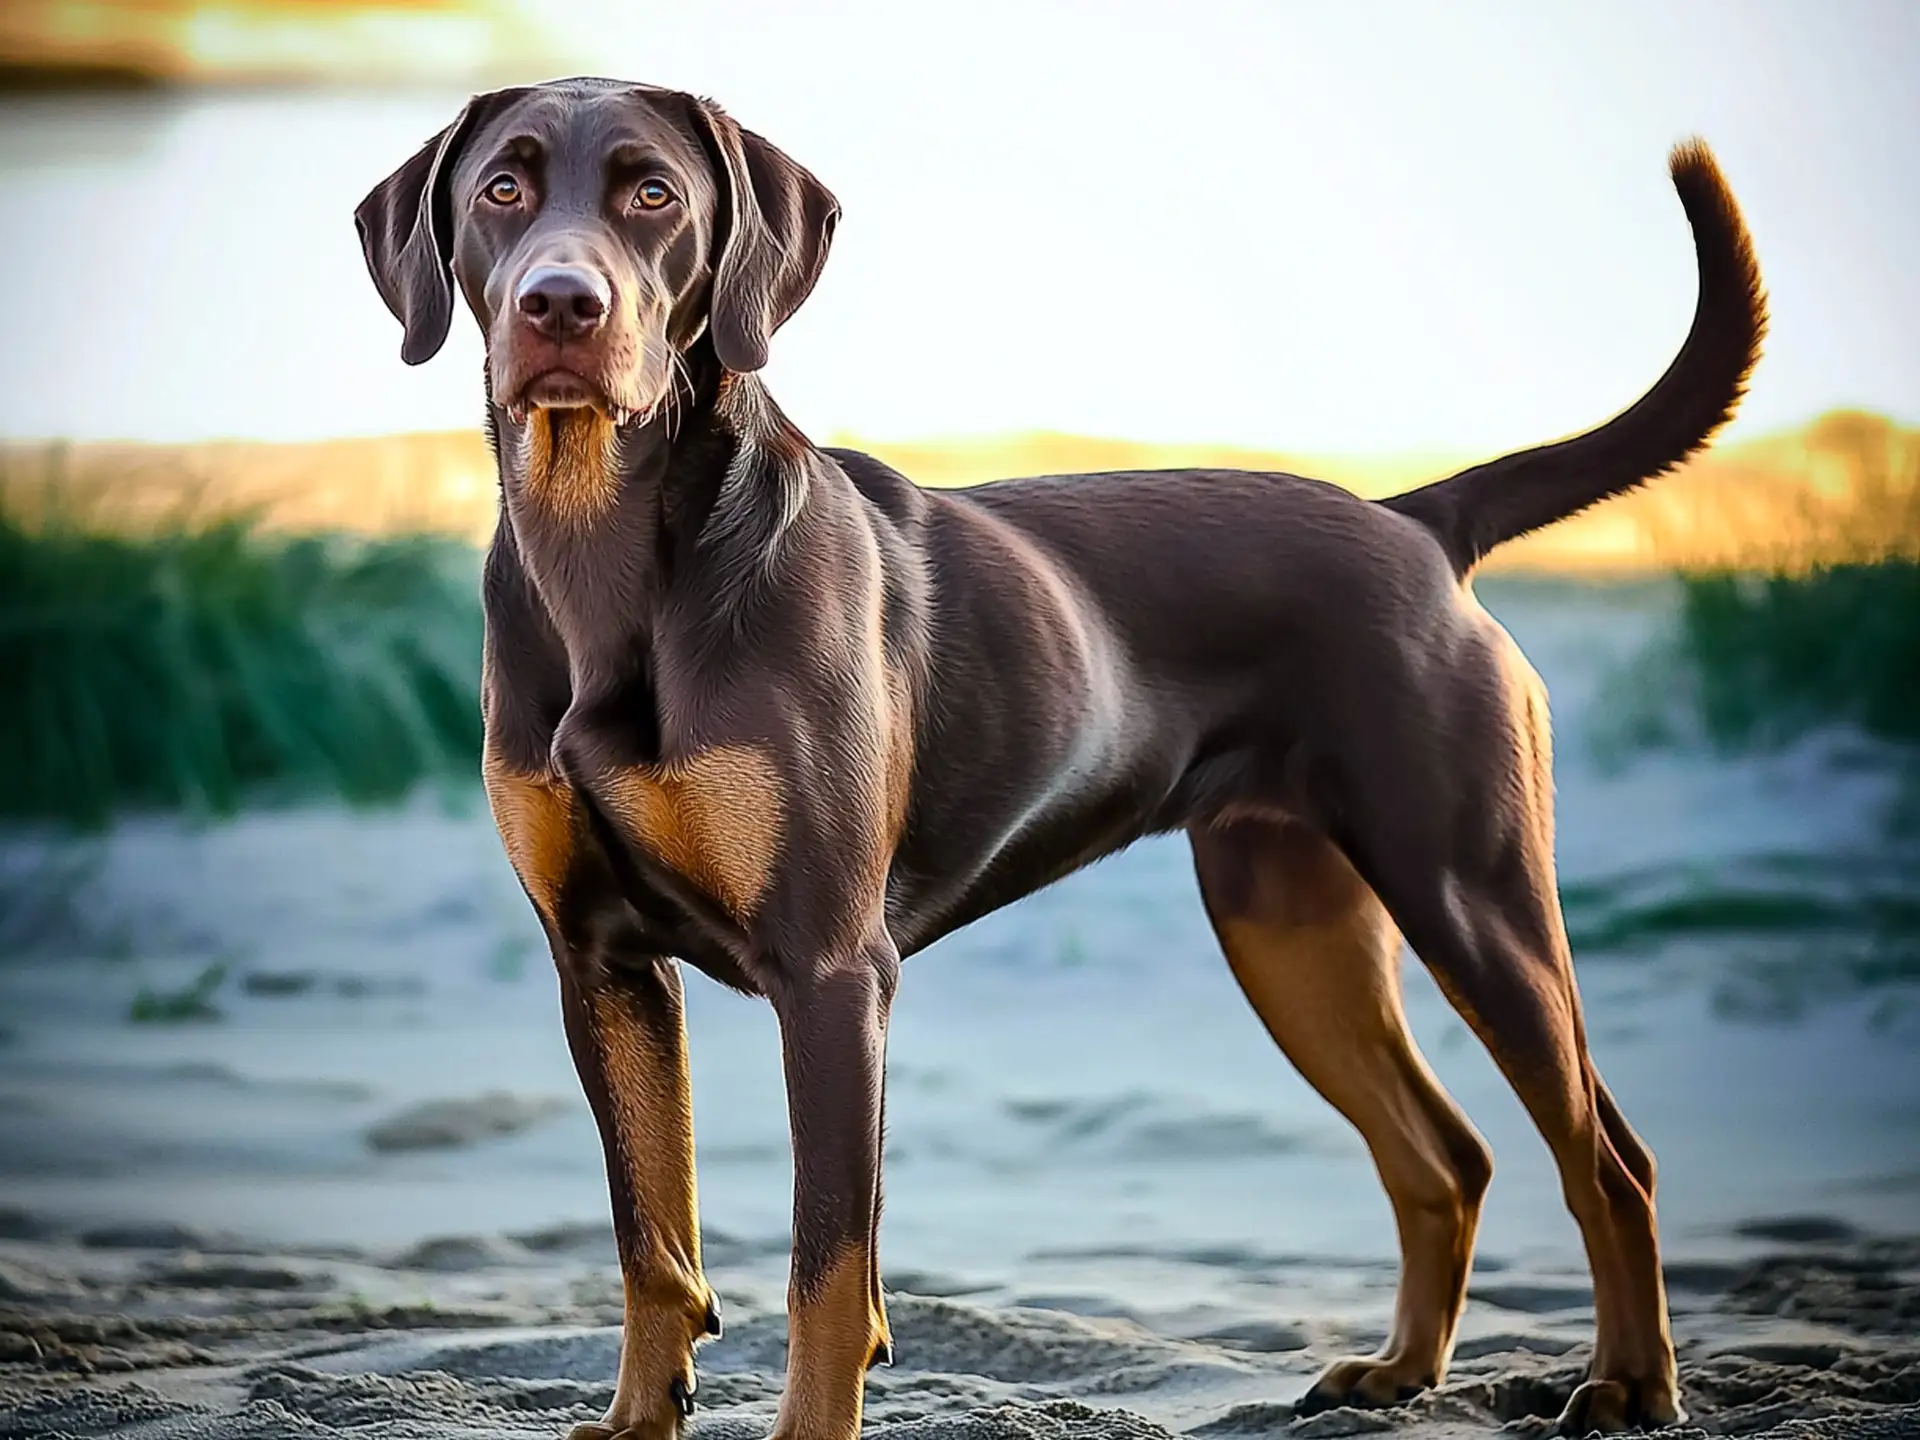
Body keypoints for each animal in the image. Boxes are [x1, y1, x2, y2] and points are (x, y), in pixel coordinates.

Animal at [360, 76, 1766, 1440]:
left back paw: (1631, 1386)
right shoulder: (602, 966)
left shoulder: (831, 970)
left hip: (1468, 895)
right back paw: (1401, 1372)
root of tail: (1418, 520)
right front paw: (637, 1419)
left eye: (652, 193)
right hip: (1289, 929)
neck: (607, 553)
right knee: (1444, 1156)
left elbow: (828, 1271)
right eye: (502, 190)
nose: (559, 302)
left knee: (1608, 1159)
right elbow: (651, 1241)